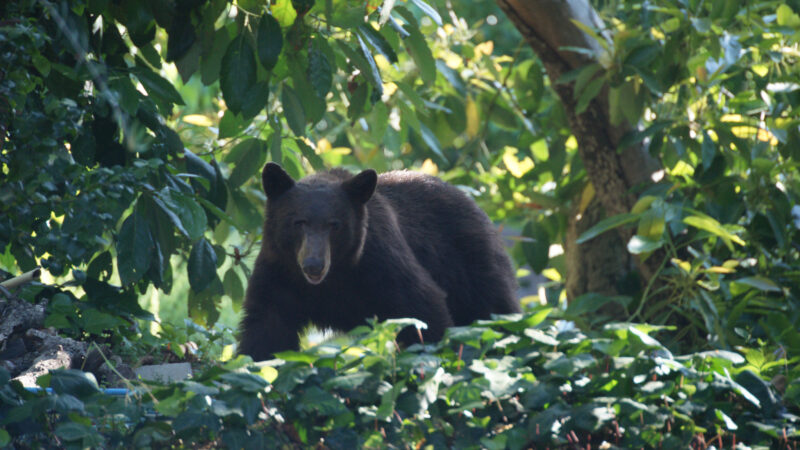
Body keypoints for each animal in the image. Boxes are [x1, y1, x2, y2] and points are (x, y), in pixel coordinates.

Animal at [238, 163, 520, 360]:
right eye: (299, 223)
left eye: (334, 225)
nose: (313, 265)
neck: (333, 278)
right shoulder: (279, 271)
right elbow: (266, 330)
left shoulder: (380, 261)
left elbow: (422, 307)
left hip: (470, 264)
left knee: (494, 311)